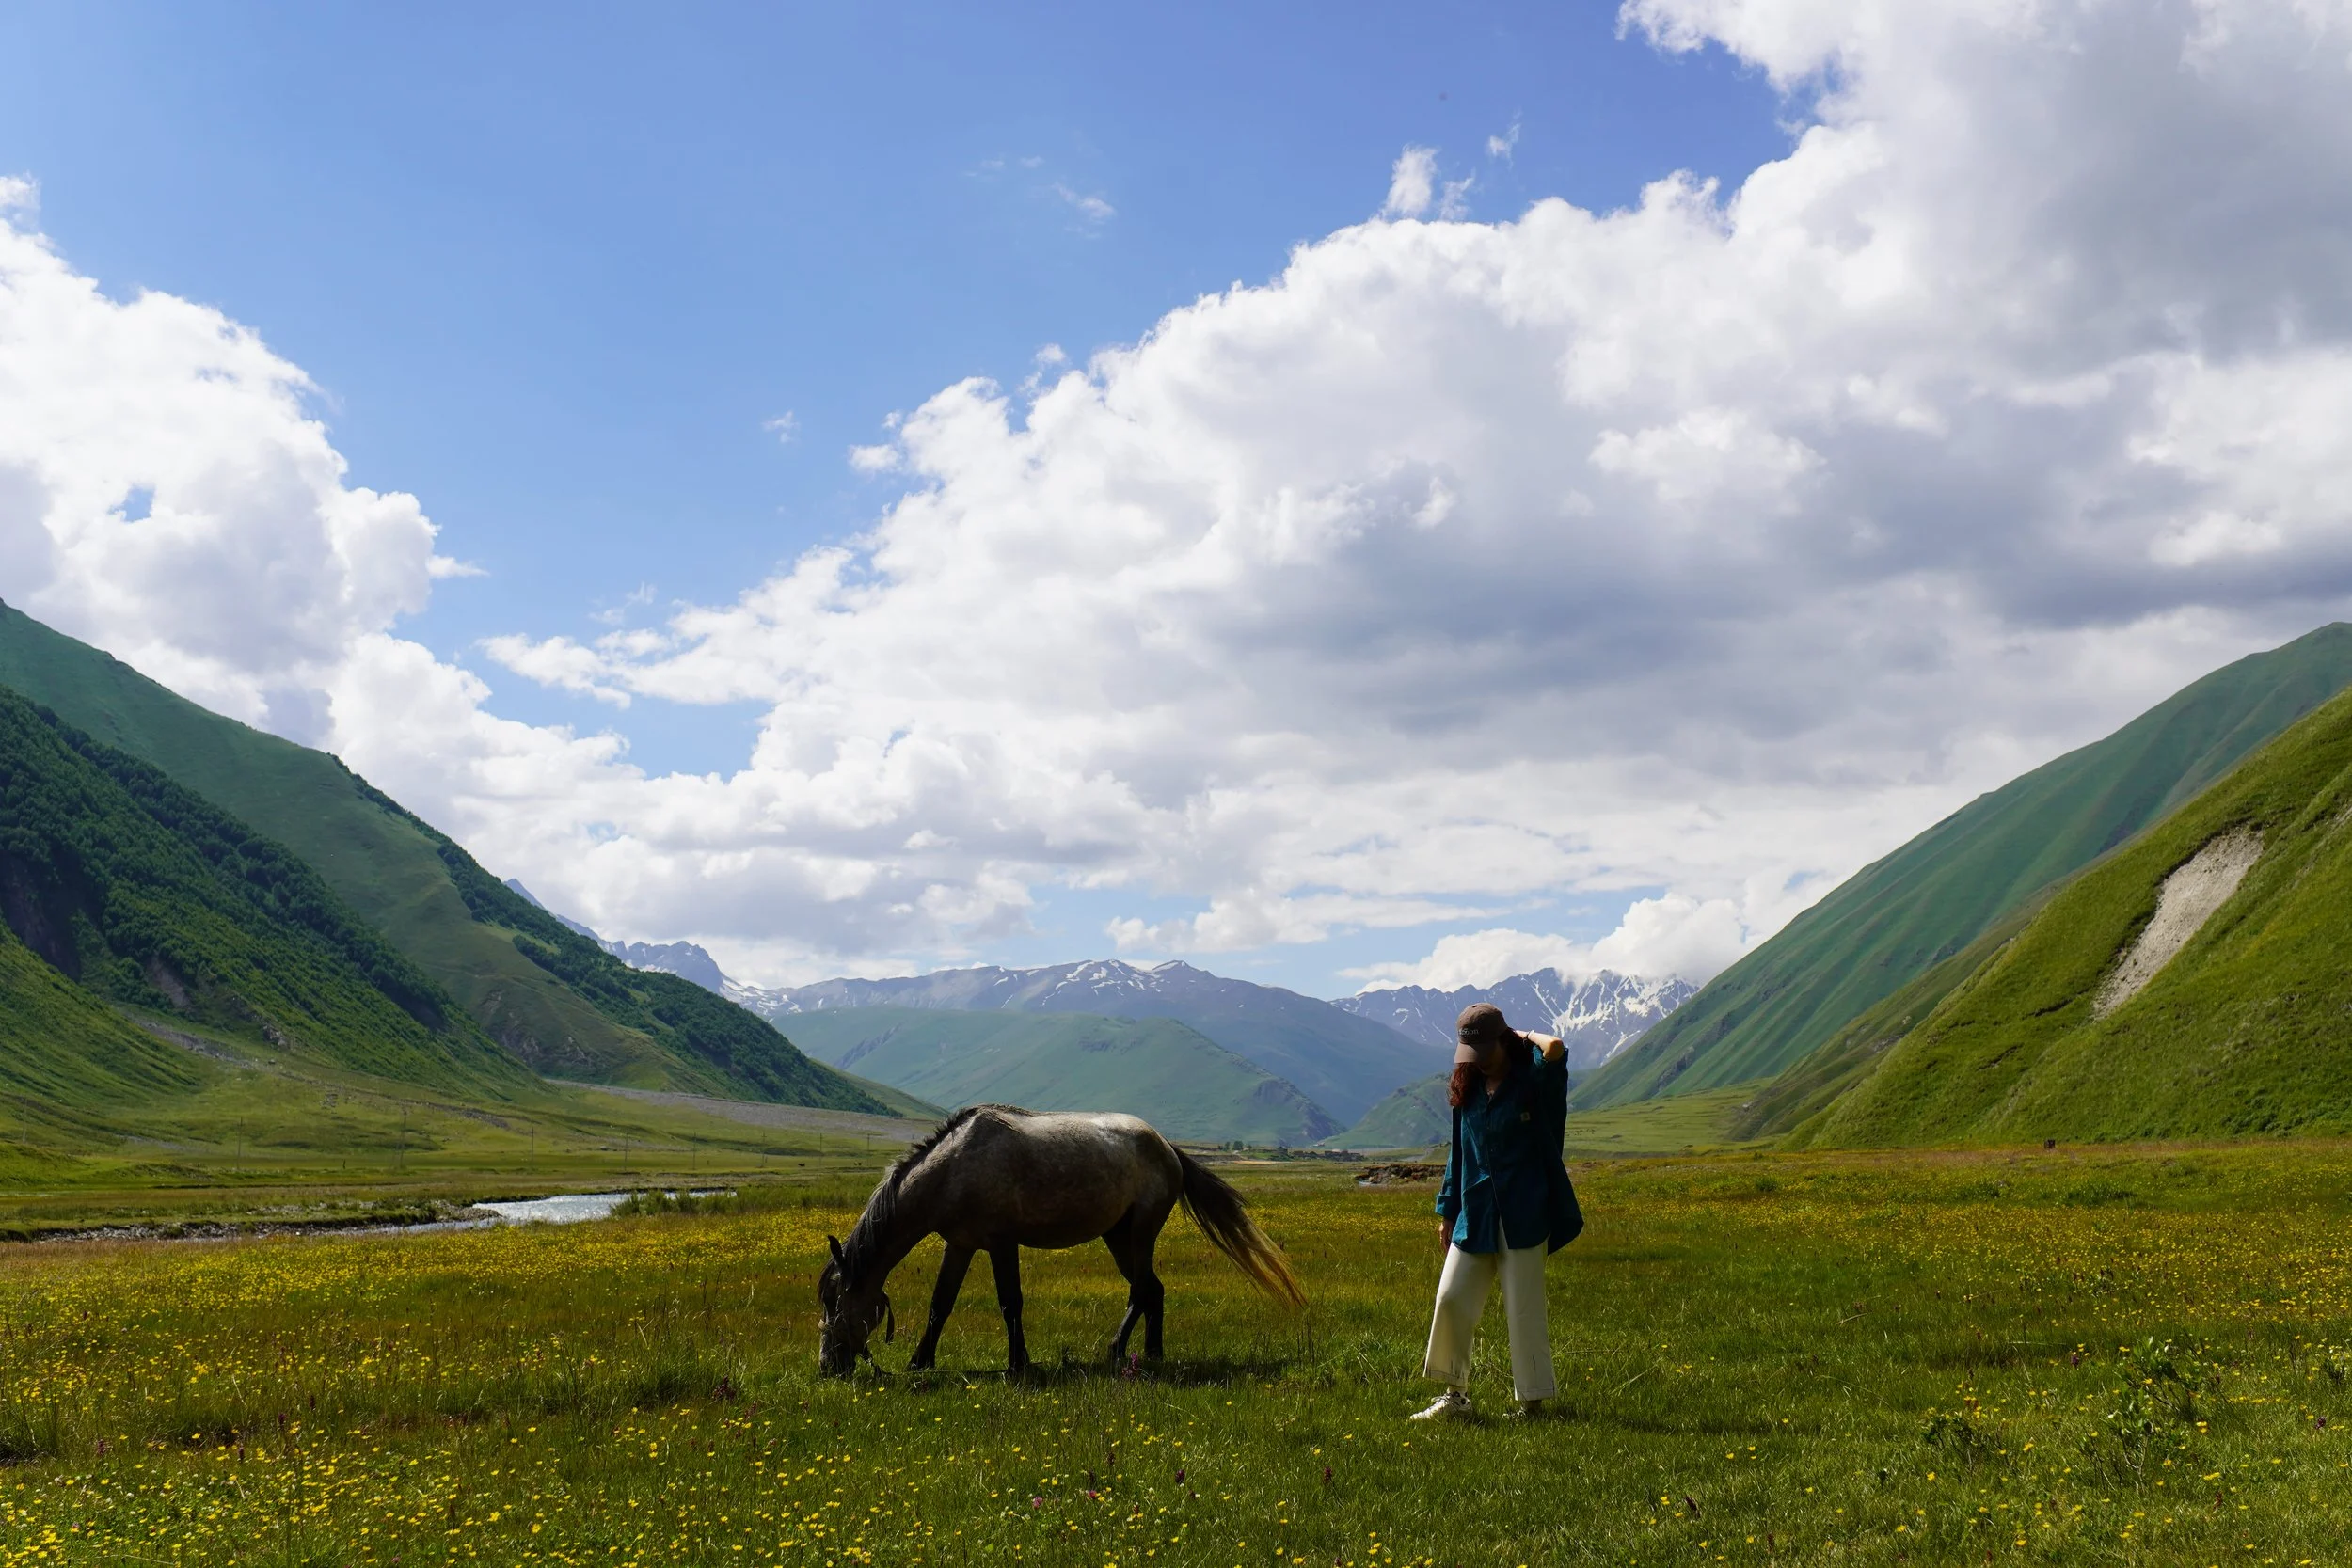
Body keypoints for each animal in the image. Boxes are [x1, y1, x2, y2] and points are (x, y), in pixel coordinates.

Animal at [817, 1104, 1305, 1376]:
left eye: (836, 1300)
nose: (826, 1367)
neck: (954, 1169)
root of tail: (1166, 1145)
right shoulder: (960, 1245)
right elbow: (941, 1305)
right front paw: (921, 1362)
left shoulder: (1001, 1243)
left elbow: (1010, 1303)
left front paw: (1019, 1363)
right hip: (1116, 1236)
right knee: (1152, 1290)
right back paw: (1147, 1352)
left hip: (1140, 1233)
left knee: (1143, 1289)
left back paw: (1125, 1351)